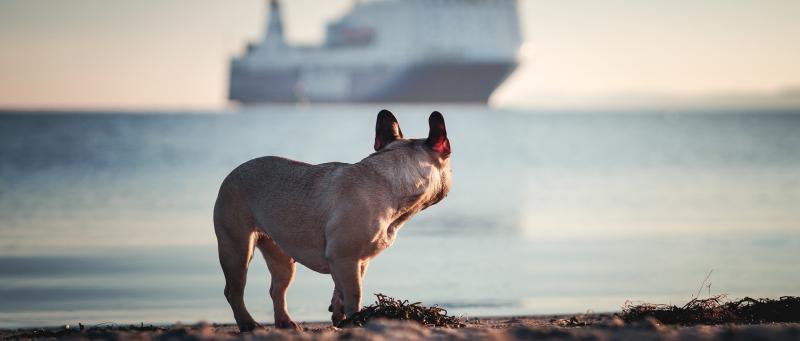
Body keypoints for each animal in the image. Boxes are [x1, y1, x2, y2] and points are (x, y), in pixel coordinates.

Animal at [212, 109, 450, 330]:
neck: (390, 181)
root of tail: (233, 172)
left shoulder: (355, 261)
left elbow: (340, 291)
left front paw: (340, 316)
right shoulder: (345, 258)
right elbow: (354, 295)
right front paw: (356, 320)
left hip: (281, 256)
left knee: (277, 289)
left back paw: (285, 322)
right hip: (237, 248)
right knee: (233, 290)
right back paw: (248, 324)